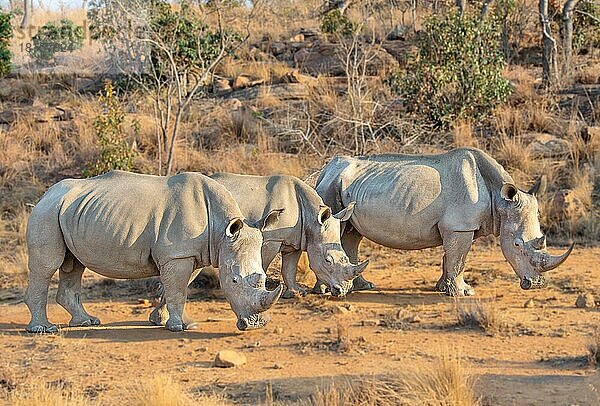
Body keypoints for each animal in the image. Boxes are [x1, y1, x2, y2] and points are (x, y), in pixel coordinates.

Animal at [24, 170, 282, 332]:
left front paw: (174, 321)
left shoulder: (190, 253)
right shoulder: (177, 254)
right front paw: (178, 327)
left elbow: (179, 287)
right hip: (46, 212)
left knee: (74, 265)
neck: (221, 231)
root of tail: (45, 194)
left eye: (264, 278)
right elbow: (178, 290)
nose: (257, 324)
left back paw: (87, 322)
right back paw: (43, 329)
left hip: (71, 212)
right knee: (48, 265)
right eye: (234, 281)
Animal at [314, 147, 572, 296]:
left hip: (348, 189)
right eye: (517, 245)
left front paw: (442, 288)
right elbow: (459, 258)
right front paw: (463, 293)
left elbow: (451, 257)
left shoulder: (457, 227)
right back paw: (326, 291)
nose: (537, 284)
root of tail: (326, 168)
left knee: (351, 234)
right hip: (331, 187)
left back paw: (363, 287)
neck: (500, 200)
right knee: (330, 229)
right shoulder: (460, 226)